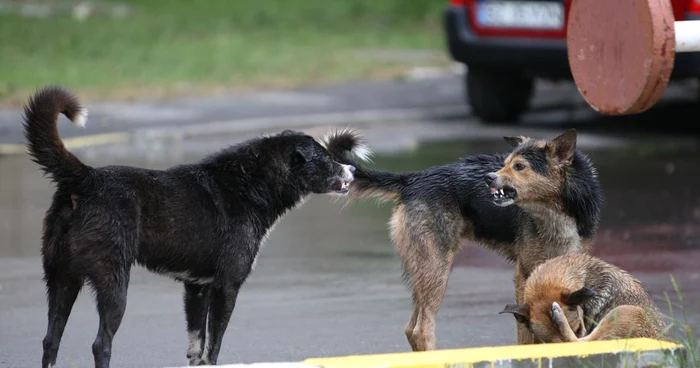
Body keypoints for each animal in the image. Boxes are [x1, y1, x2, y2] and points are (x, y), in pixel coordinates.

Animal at [26, 87, 364, 368]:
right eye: (325, 159)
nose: (352, 169)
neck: (250, 185)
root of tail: (87, 178)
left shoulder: (197, 288)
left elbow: (196, 348)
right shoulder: (227, 286)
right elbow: (214, 346)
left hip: (62, 278)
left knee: (49, 341)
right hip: (113, 283)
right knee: (101, 345)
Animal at [322, 129, 600, 350]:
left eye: (519, 166)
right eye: (505, 163)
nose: (489, 178)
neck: (555, 211)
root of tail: (413, 180)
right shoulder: (524, 274)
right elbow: (526, 334)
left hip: (425, 272)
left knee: (410, 328)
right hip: (437, 269)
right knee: (421, 330)